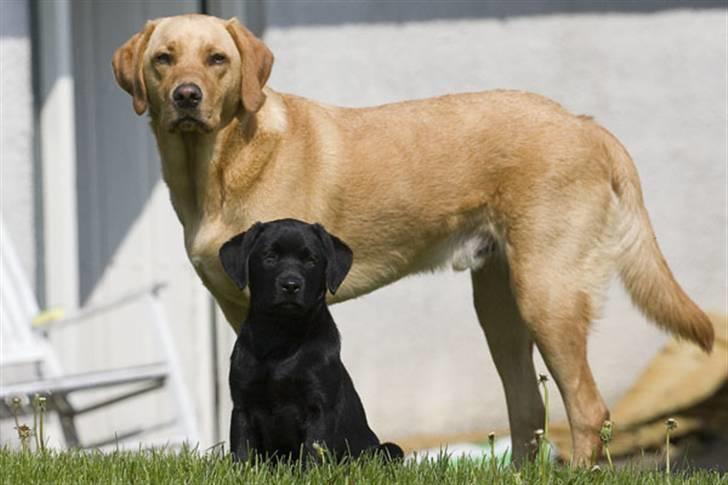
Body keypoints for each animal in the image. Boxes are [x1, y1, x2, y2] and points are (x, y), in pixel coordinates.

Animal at [222, 218, 404, 462]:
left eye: (311, 261)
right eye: (270, 257)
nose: (291, 285)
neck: (281, 337)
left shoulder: (319, 406)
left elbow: (313, 452)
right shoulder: (242, 405)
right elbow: (242, 452)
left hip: (388, 450)